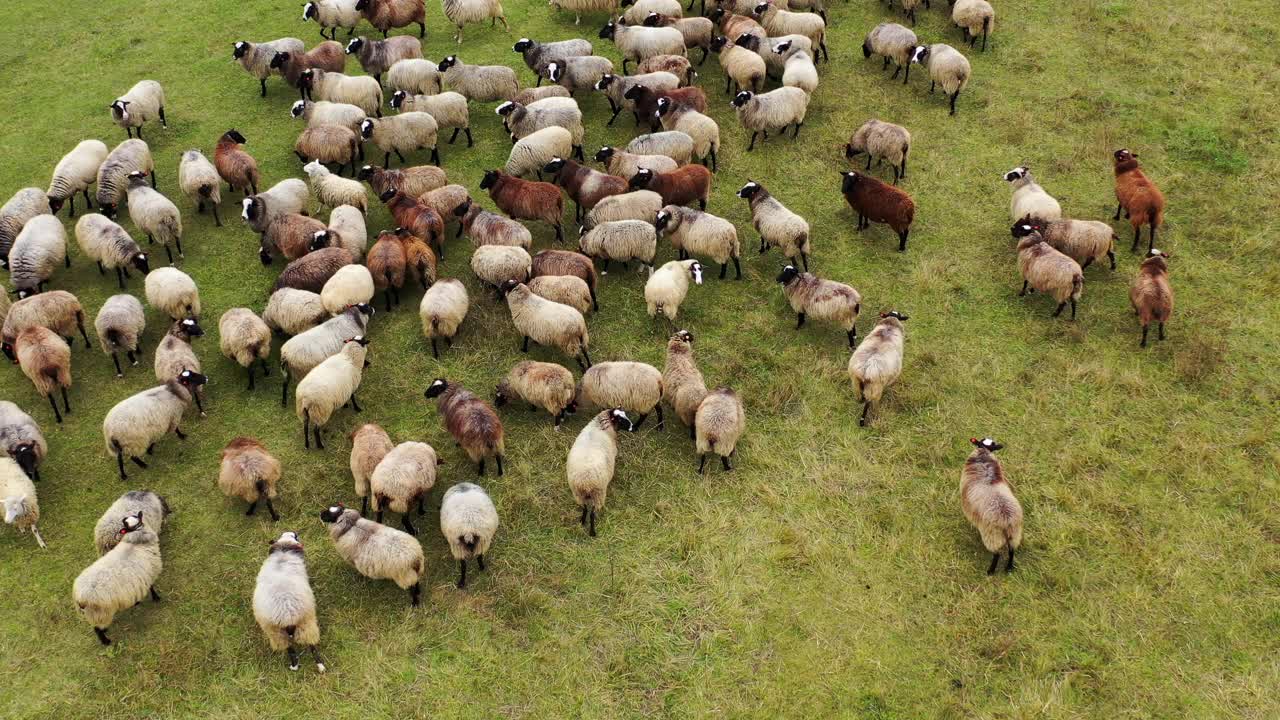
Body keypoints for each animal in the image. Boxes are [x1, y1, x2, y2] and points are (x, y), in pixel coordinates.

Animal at [71, 509, 162, 645]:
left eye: (136, 518)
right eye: (128, 524)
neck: (135, 541)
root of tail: (80, 597)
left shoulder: (137, 581)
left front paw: (137, 602)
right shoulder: (149, 572)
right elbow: (152, 587)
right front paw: (156, 598)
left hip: (92, 613)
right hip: (101, 612)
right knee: (97, 628)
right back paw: (106, 641)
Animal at [252, 527, 325, 671]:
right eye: (296, 537)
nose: (293, 532)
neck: (284, 552)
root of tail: (285, 616)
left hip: (277, 633)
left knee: (290, 649)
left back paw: (294, 665)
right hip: (306, 624)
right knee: (312, 646)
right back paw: (320, 666)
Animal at [962, 435, 1018, 573]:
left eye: (992, 446)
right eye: (982, 442)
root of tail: (1006, 519)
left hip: (992, 535)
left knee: (997, 553)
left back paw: (990, 571)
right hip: (1014, 533)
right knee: (1011, 550)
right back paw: (1008, 568)